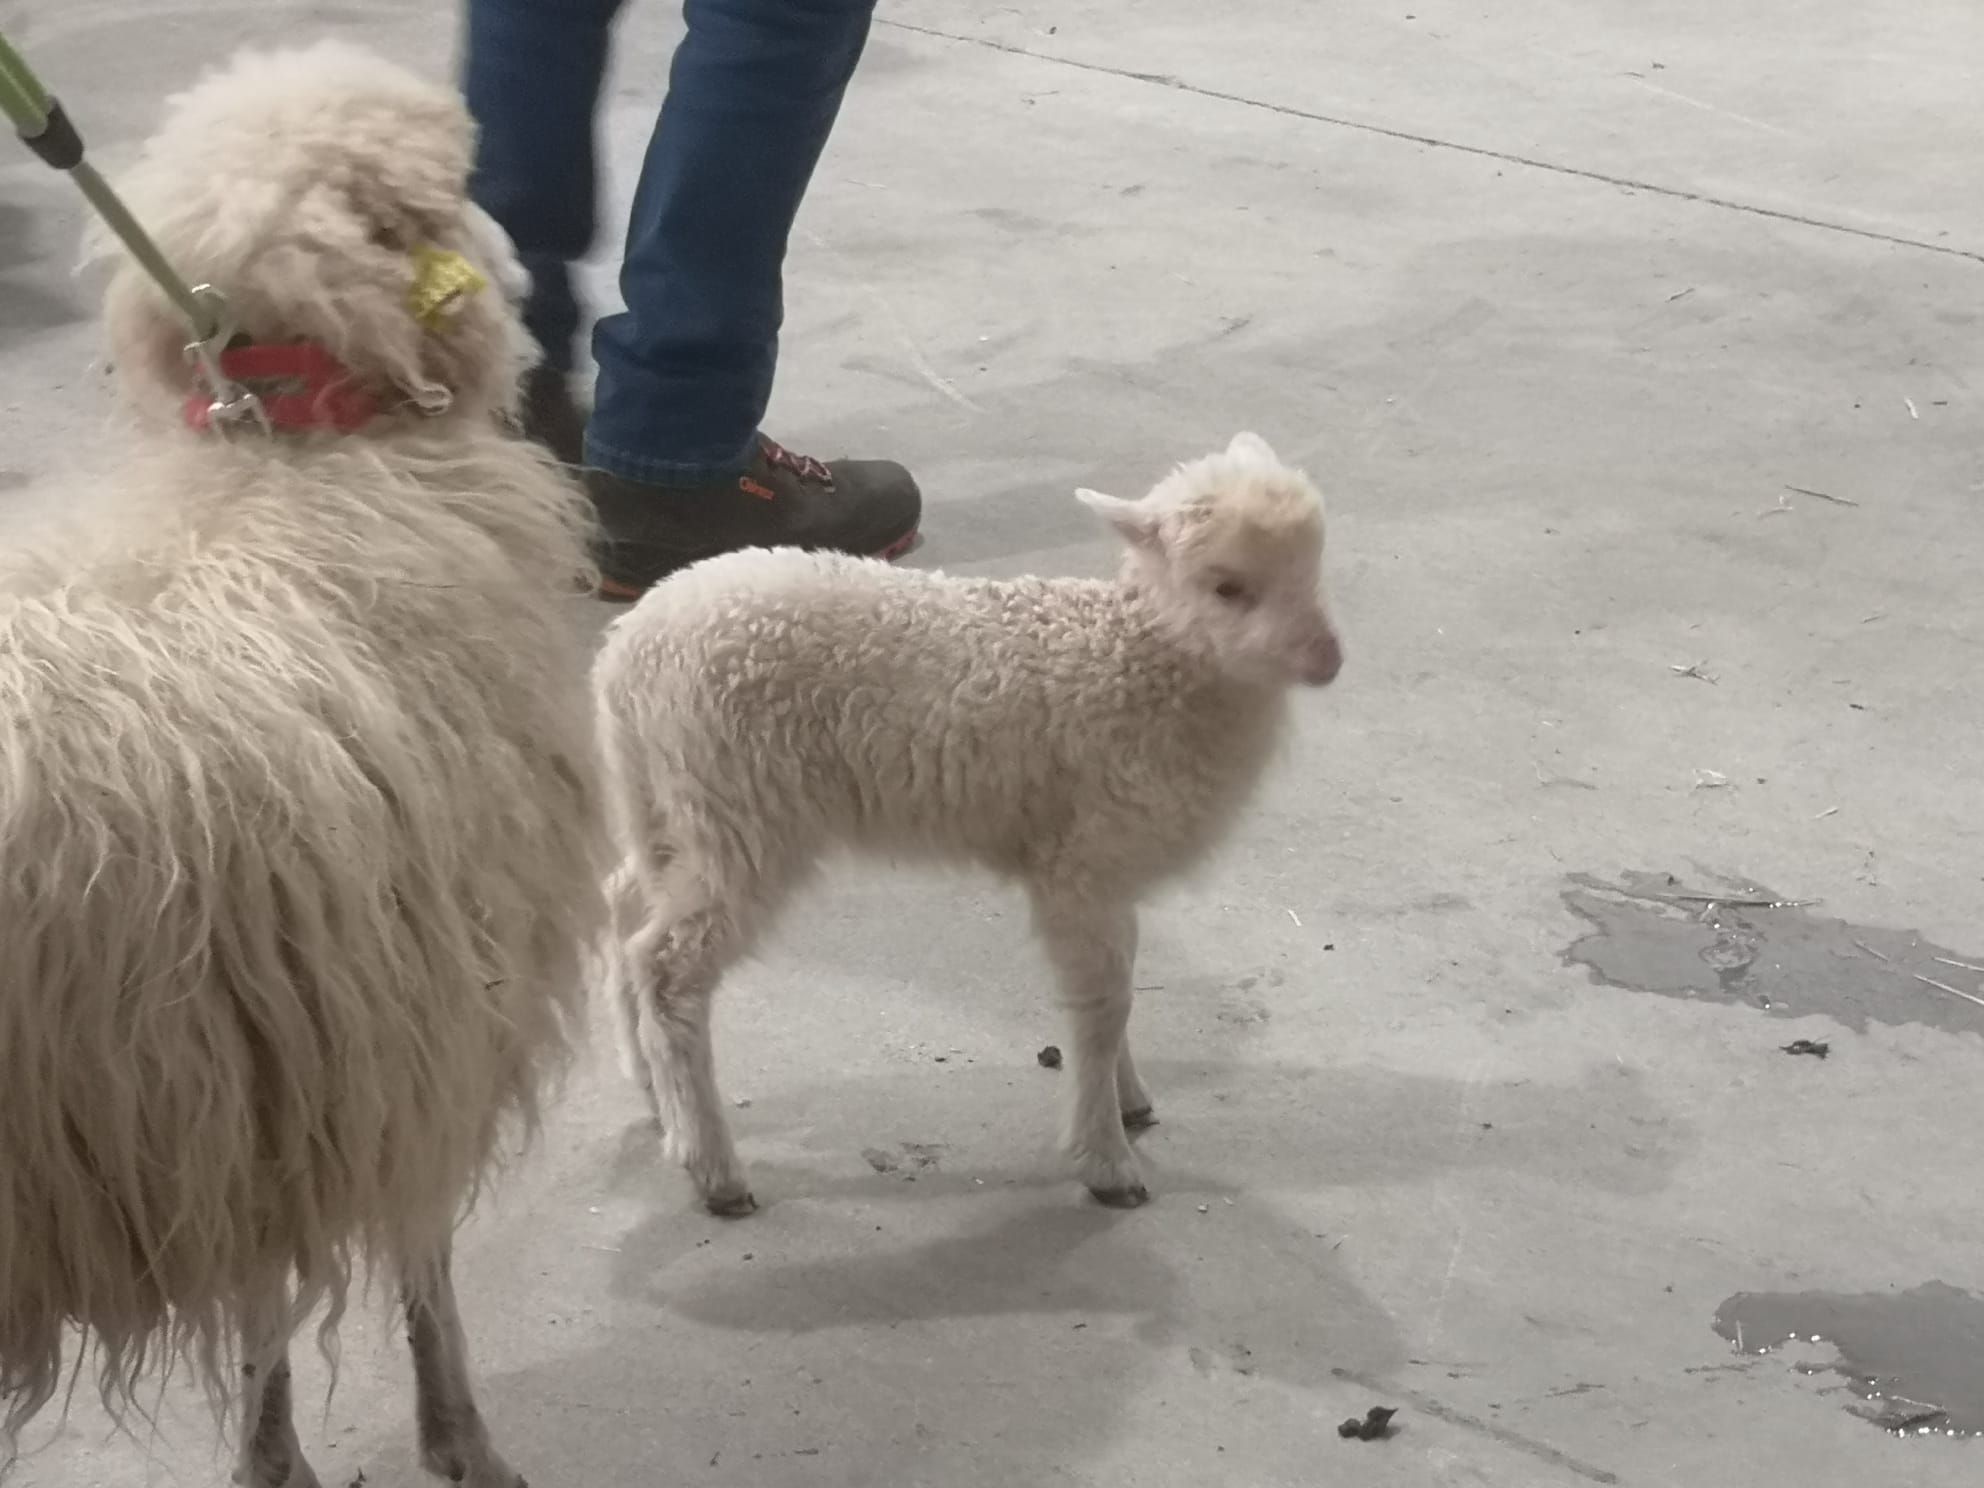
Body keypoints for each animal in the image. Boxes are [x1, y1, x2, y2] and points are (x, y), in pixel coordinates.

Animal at [1, 40, 603, 1484]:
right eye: (453, 185)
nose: (530, 265)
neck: (304, 462)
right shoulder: (376, 1043)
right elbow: (395, 1274)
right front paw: (453, 1439)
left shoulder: (244, 1081)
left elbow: (271, 1307)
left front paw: (278, 1457)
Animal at [587, 428, 1333, 1214]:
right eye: (1228, 587)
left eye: (1313, 566)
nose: (1327, 659)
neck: (1138, 656)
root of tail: (626, 654)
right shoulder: (1081, 866)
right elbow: (1101, 1008)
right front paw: (1105, 1156)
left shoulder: (1106, 864)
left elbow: (1119, 996)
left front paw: (1128, 1099)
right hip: (740, 811)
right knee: (669, 970)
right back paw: (713, 1166)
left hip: (671, 804)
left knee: (626, 915)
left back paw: (652, 1089)